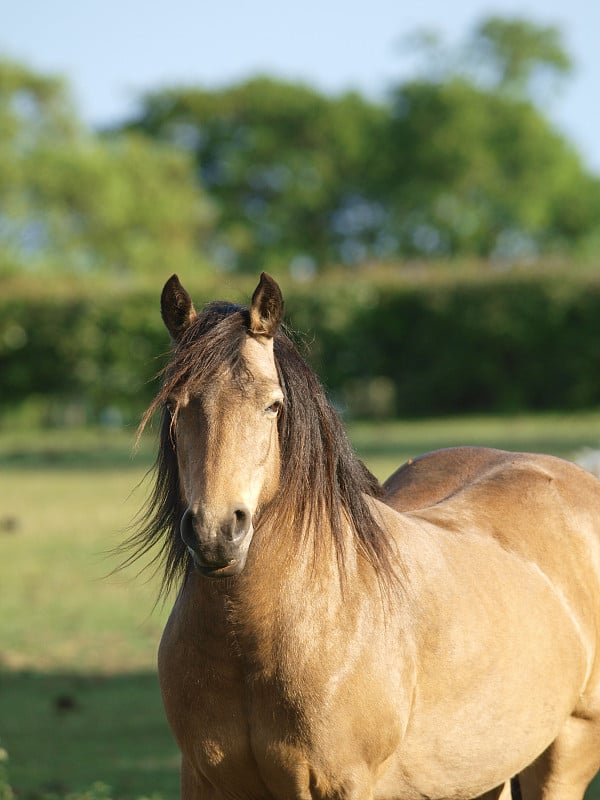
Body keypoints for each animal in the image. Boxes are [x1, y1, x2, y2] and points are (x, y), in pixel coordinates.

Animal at [130, 272, 600, 796]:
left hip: (567, 752)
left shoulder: (343, 784)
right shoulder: (201, 779)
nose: (215, 533)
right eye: (175, 405)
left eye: (273, 406)